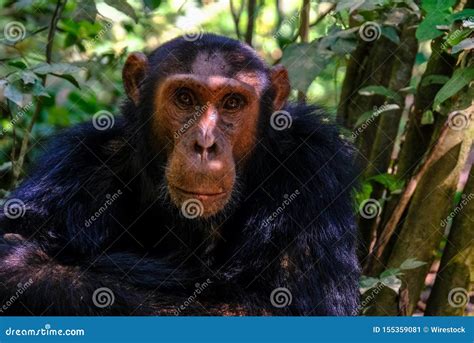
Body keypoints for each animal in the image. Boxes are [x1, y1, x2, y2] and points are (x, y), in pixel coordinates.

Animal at [0, 33, 360, 316]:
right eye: (184, 98)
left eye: (232, 103)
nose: (205, 143)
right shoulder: (76, 166)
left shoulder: (311, 169)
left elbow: (284, 305)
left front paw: (22, 267)